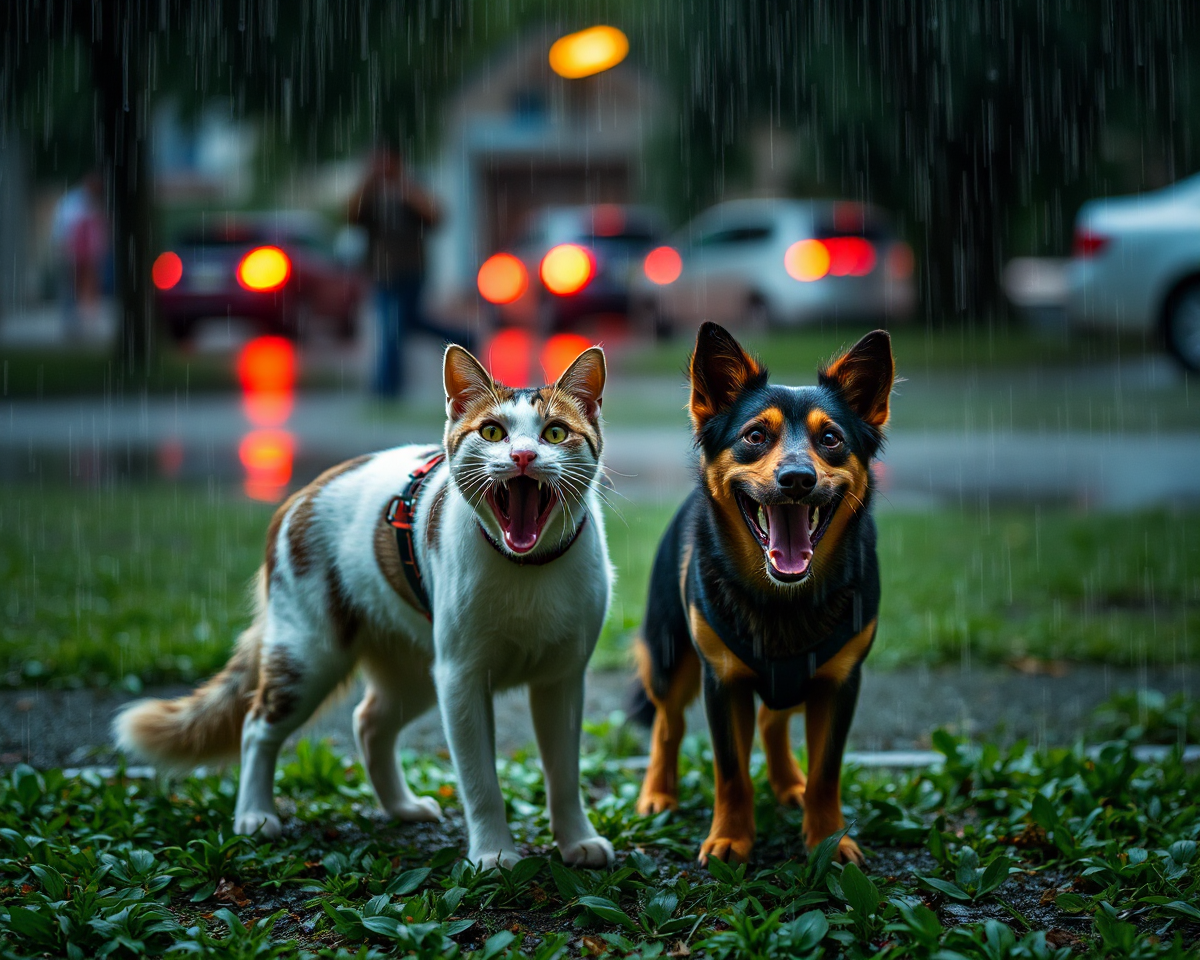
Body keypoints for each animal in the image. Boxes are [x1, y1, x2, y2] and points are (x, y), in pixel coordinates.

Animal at [115, 343, 614, 868]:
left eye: (554, 432)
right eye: (492, 432)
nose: (522, 455)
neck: (528, 568)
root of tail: (299, 495)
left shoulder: (562, 678)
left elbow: (564, 774)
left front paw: (576, 840)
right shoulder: (460, 677)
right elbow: (481, 782)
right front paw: (494, 853)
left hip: (414, 668)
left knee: (369, 722)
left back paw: (401, 808)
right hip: (309, 655)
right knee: (257, 725)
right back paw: (254, 815)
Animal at [633, 324, 897, 868]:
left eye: (831, 438)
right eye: (754, 436)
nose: (797, 479)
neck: (783, 599)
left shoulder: (839, 682)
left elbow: (826, 773)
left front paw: (828, 840)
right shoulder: (722, 681)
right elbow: (731, 772)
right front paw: (730, 839)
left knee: (774, 722)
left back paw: (788, 783)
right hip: (669, 653)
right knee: (668, 723)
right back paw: (658, 793)